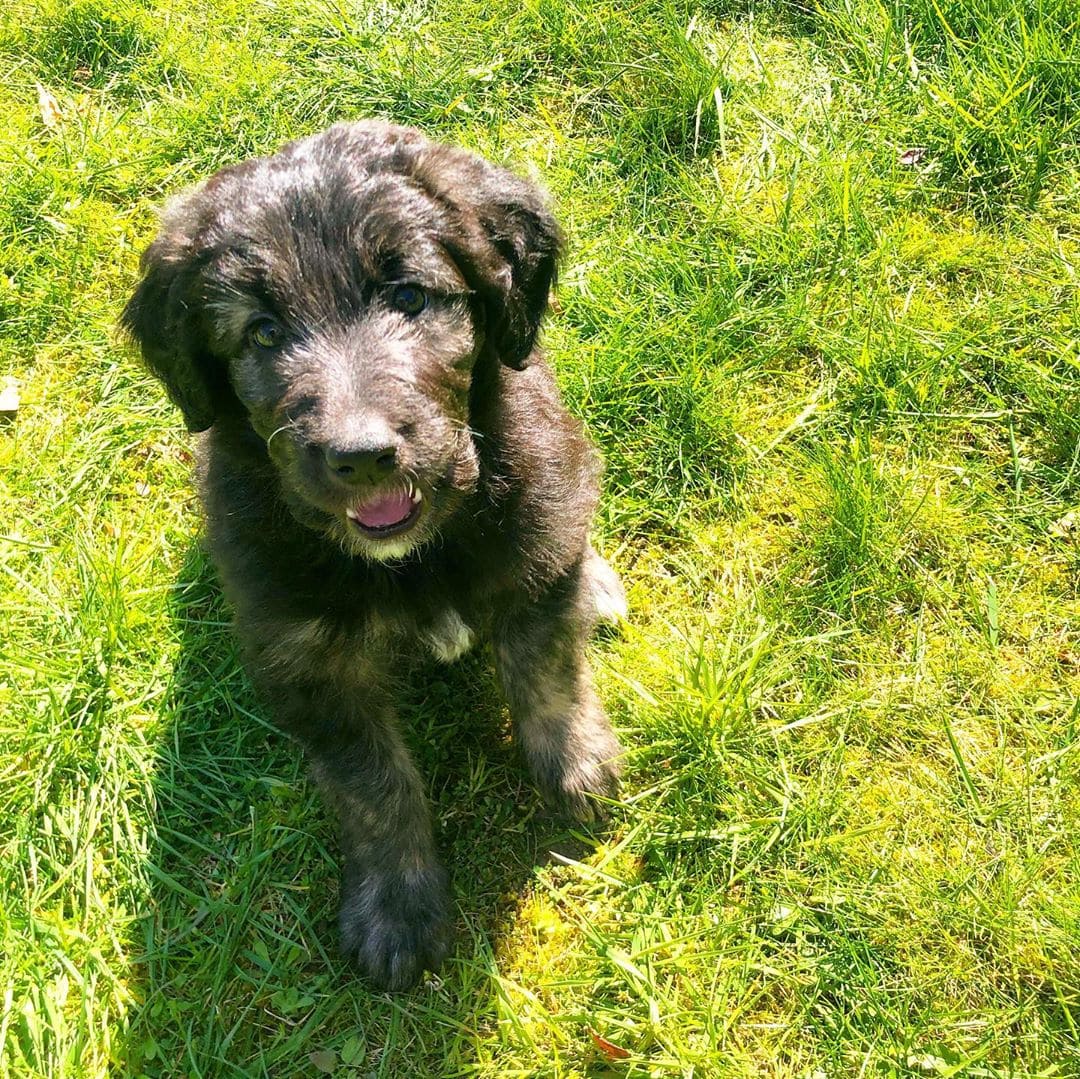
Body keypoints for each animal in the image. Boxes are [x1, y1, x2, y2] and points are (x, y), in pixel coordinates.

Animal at [125, 122, 630, 989]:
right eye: (262, 333)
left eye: (410, 297)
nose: (361, 457)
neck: (414, 554)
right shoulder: (310, 663)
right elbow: (373, 784)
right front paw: (397, 904)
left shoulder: (533, 533)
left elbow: (548, 668)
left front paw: (576, 763)